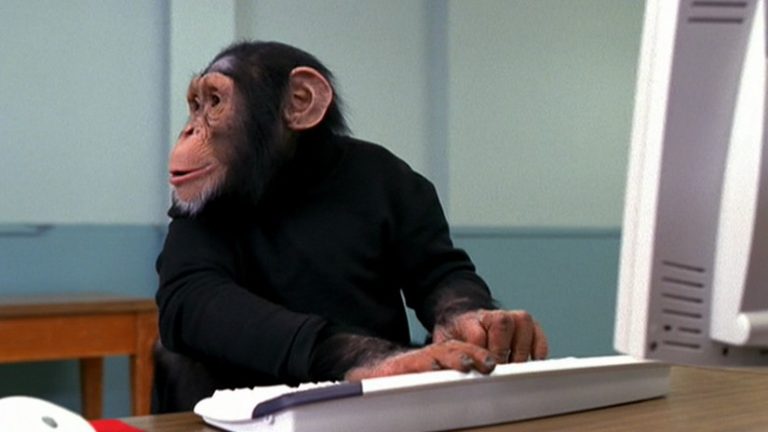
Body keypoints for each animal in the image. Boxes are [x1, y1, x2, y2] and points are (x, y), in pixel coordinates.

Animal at [155, 41, 548, 412]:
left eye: (214, 102)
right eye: (195, 104)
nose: (188, 129)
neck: (294, 178)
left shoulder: (407, 181)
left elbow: (438, 269)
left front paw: (484, 323)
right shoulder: (187, 208)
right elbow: (197, 286)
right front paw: (393, 359)